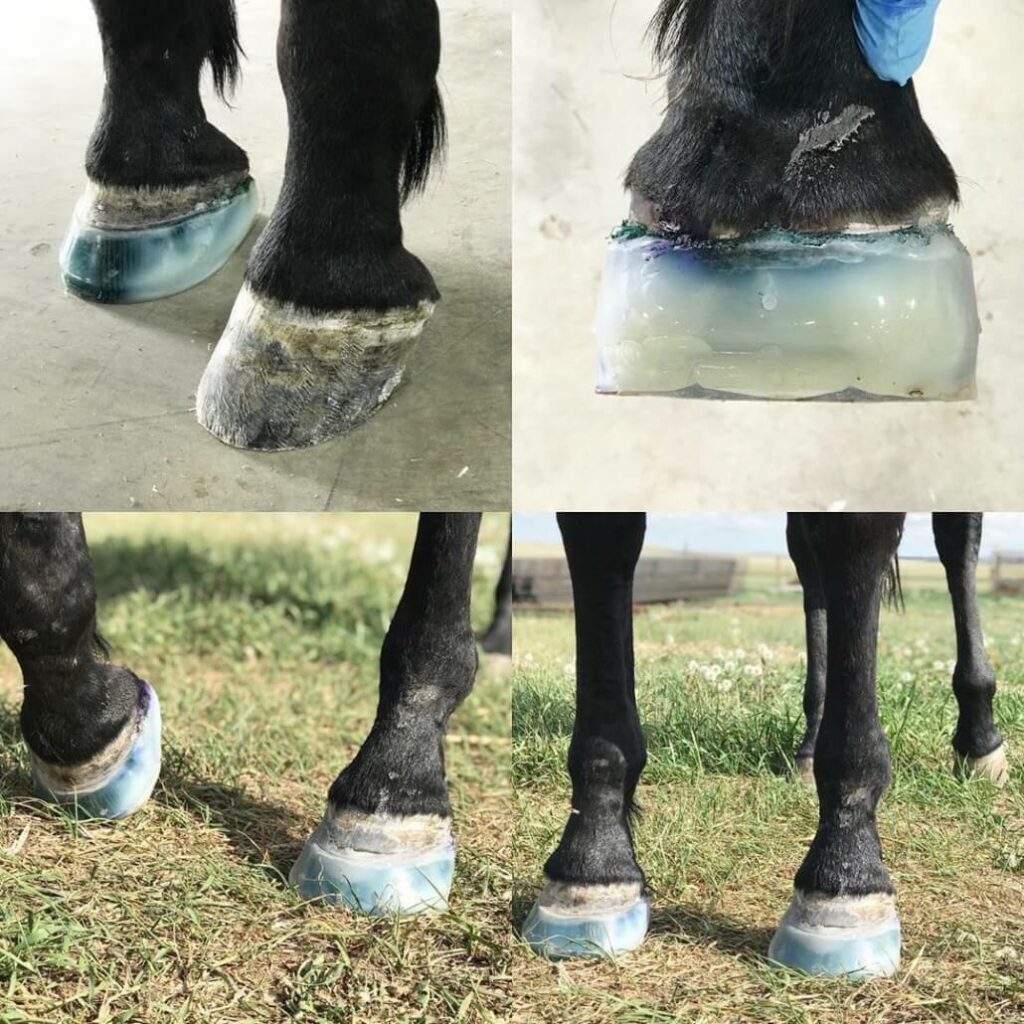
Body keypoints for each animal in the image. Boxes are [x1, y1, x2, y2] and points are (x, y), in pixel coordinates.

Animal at [522, 513, 1009, 978]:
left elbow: (855, 534)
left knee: (956, 540)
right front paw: (593, 860)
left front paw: (845, 873)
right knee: (810, 563)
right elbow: (603, 538)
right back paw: (811, 743)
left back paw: (979, 738)